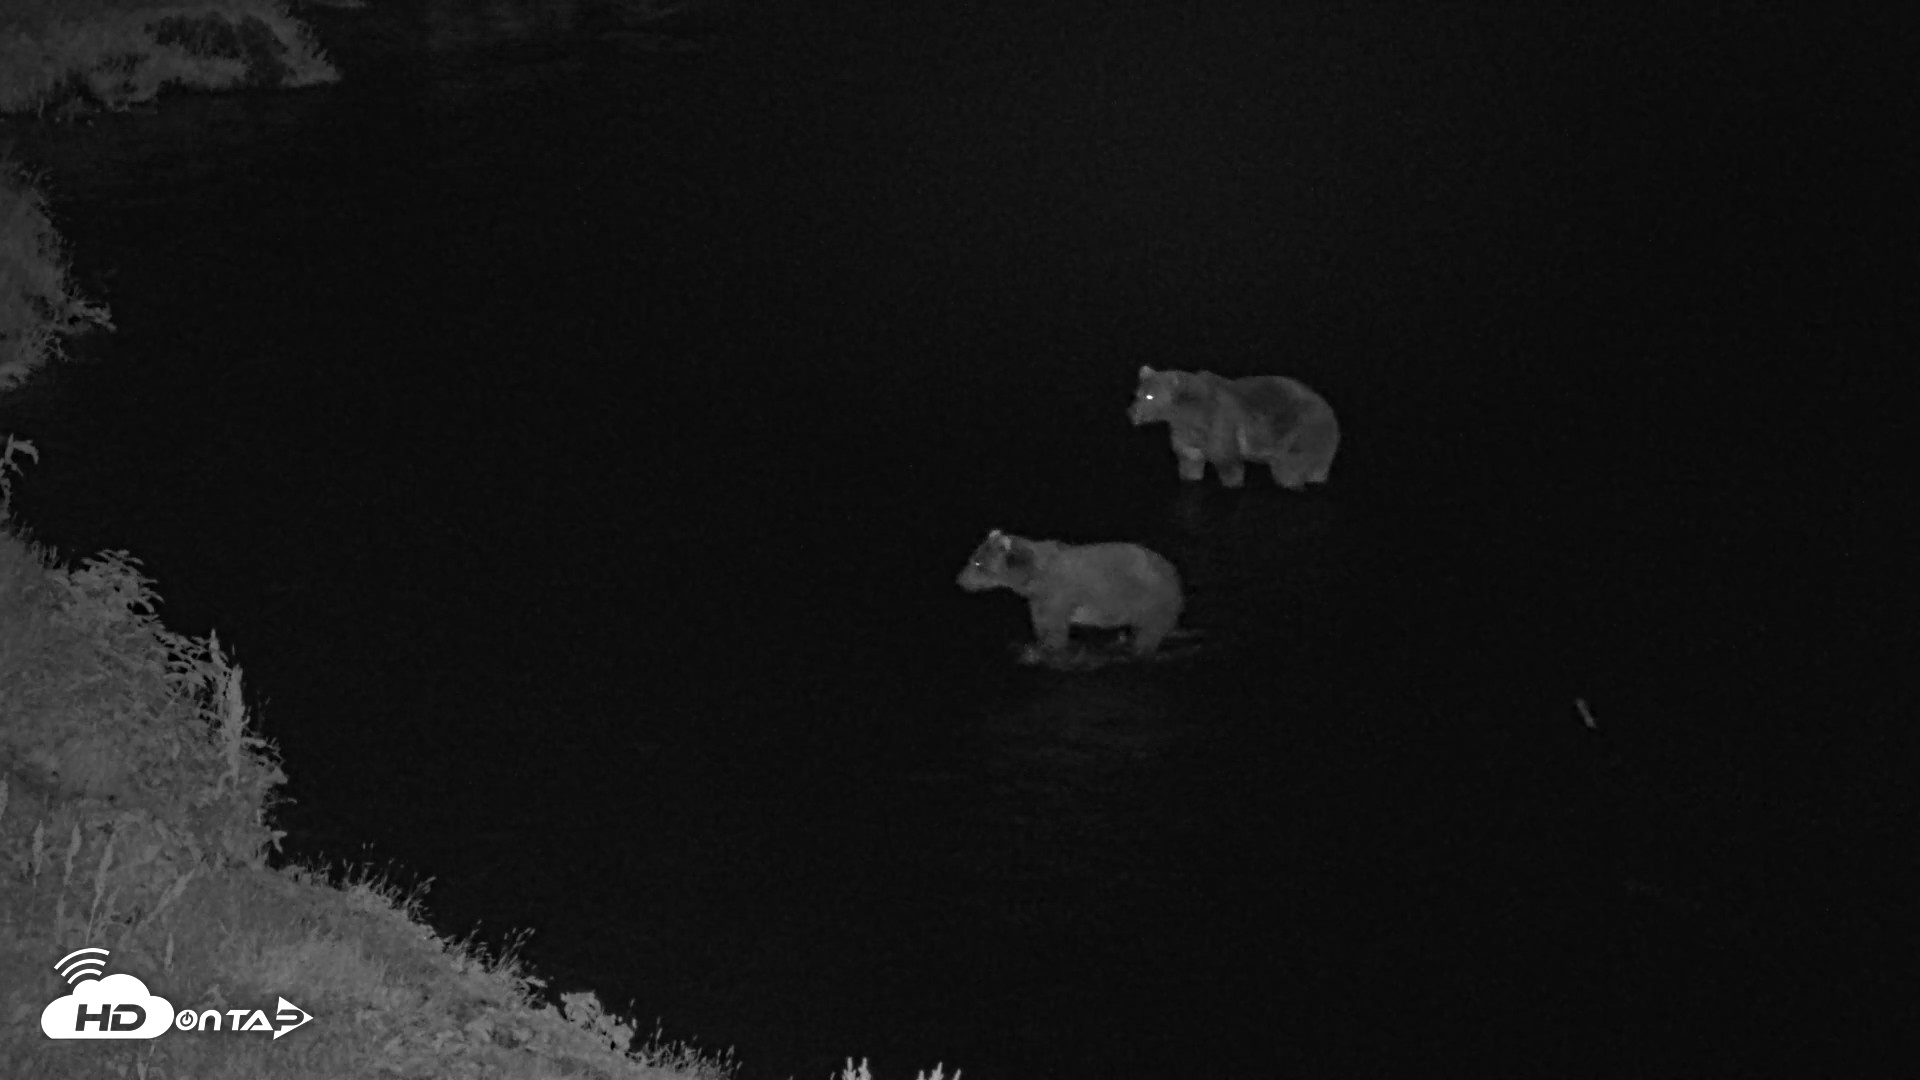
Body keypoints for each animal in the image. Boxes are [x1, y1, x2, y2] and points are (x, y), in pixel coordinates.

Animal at [957, 529, 1184, 657]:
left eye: (978, 563)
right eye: (973, 558)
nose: (959, 580)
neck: (1032, 577)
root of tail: (1174, 574)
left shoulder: (1058, 593)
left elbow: (1056, 629)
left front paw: (1047, 649)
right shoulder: (1038, 599)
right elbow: (1040, 623)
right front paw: (1036, 644)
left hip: (1152, 598)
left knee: (1150, 631)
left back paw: (1138, 648)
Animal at [1128, 365, 1341, 490]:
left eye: (1150, 396)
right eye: (1137, 394)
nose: (1130, 413)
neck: (1187, 416)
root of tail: (1332, 415)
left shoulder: (1220, 427)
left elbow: (1229, 463)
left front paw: (1232, 483)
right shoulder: (1187, 436)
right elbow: (1190, 462)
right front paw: (1191, 476)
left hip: (1300, 435)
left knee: (1288, 469)